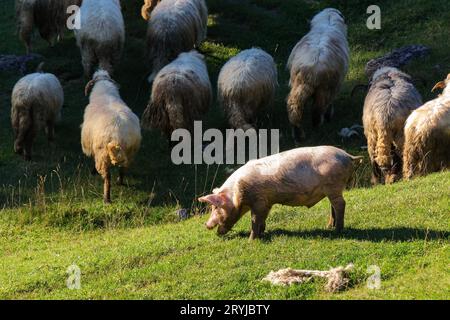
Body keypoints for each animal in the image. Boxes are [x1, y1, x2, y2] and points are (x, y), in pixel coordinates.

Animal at [81, 71, 142, 204]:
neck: (105, 93)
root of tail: (117, 135)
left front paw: (92, 171)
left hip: (102, 155)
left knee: (107, 178)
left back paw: (106, 199)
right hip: (129, 152)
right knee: (122, 168)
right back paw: (120, 182)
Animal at [199, 146, 364, 239]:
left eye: (215, 207)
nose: (206, 225)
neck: (238, 193)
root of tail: (348, 156)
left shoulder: (258, 200)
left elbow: (255, 219)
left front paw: (252, 240)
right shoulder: (266, 202)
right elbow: (262, 218)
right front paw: (262, 233)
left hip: (334, 185)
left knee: (341, 204)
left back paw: (337, 230)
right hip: (333, 188)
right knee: (334, 206)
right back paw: (328, 227)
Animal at [286, 7, 350, 142]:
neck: (327, 24)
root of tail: (311, 70)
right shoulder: (336, 85)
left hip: (298, 85)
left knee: (294, 107)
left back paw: (297, 134)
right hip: (325, 88)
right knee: (318, 108)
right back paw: (318, 124)